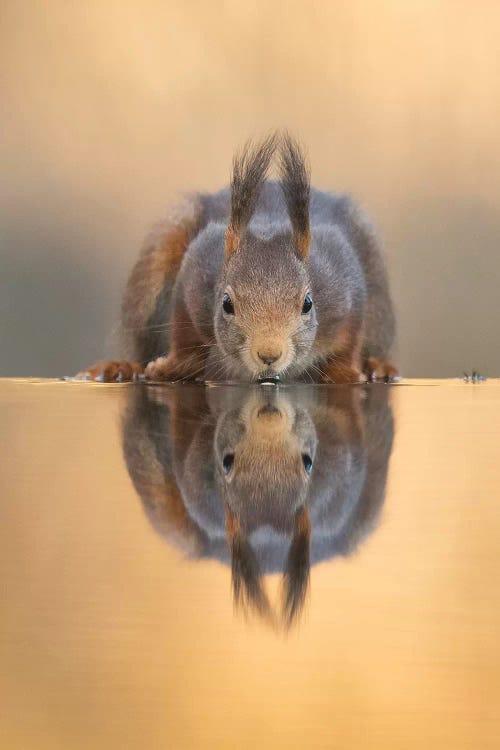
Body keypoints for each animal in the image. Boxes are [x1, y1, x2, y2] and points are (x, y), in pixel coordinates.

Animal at [78, 131, 398, 384]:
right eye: (226, 304)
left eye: (307, 304)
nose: (268, 354)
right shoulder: (196, 273)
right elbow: (184, 337)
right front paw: (170, 367)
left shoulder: (343, 283)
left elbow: (350, 340)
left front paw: (345, 373)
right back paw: (120, 367)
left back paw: (379, 367)